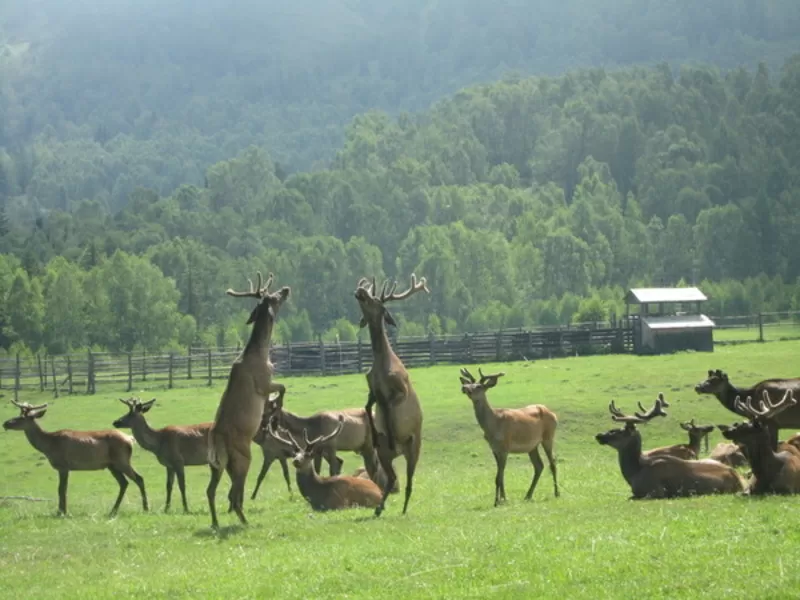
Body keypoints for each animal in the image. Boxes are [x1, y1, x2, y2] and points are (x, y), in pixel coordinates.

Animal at [3, 398, 148, 516]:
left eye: (22, 418)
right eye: (18, 415)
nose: (5, 423)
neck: (48, 445)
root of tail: (130, 439)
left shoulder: (63, 465)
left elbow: (61, 489)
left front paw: (62, 512)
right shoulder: (65, 467)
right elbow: (63, 488)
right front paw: (62, 510)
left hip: (122, 460)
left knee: (139, 478)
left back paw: (145, 508)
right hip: (112, 465)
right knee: (124, 483)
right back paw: (113, 511)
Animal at [206, 270, 290, 528]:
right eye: (273, 297)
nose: (286, 289)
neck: (262, 353)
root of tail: (217, 441)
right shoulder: (264, 383)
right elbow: (282, 389)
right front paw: (276, 412)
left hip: (217, 464)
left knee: (211, 491)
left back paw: (216, 523)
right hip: (243, 456)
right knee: (233, 494)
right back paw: (244, 521)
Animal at [356, 276, 432, 516]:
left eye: (375, 300)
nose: (360, 290)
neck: (381, 366)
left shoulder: (401, 390)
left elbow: (389, 409)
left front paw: (390, 432)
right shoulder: (372, 390)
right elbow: (368, 408)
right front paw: (375, 430)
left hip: (415, 447)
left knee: (408, 481)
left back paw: (404, 507)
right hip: (385, 455)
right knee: (390, 478)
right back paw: (379, 507)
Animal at [460, 366, 560, 506]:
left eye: (479, 386)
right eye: (469, 383)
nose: (464, 388)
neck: (493, 426)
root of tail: (554, 414)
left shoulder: (505, 447)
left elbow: (498, 476)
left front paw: (497, 501)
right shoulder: (494, 448)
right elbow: (500, 475)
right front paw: (503, 499)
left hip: (548, 436)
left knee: (552, 463)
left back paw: (557, 493)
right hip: (532, 446)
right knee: (539, 466)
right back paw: (528, 495)